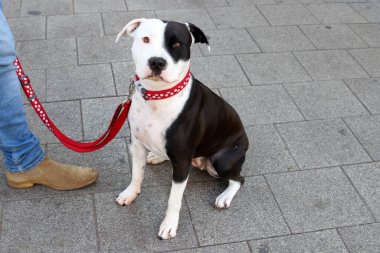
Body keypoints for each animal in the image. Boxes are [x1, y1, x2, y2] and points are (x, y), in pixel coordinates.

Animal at [114, 18, 248, 240]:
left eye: (177, 44)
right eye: (145, 39)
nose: (157, 62)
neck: (157, 96)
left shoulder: (182, 161)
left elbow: (174, 199)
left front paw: (169, 225)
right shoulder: (137, 144)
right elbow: (136, 174)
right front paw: (130, 193)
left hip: (222, 160)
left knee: (238, 179)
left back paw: (225, 197)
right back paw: (157, 156)